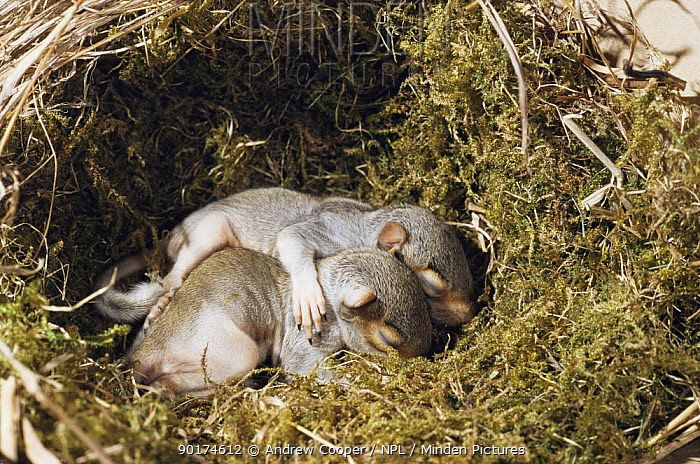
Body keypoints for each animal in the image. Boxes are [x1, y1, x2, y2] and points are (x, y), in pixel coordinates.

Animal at [94, 188, 476, 340]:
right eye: (430, 286)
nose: (468, 314)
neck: (364, 227)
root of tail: (170, 236)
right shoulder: (327, 230)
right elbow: (291, 239)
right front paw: (308, 297)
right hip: (206, 233)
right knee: (173, 275)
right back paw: (163, 298)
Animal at [121, 248, 434, 396]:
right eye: (388, 340)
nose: (424, 358)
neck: (328, 296)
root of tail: (147, 350)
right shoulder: (306, 339)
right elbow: (305, 369)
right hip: (235, 352)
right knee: (163, 384)